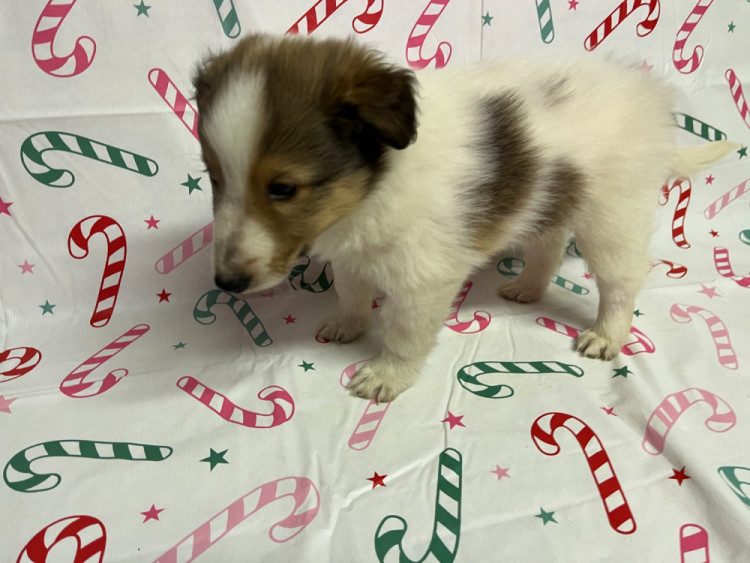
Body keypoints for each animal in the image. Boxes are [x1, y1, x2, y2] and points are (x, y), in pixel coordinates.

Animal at [192, 34, 736, 402]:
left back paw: (607, 334)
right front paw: (346, 324)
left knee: (622, 279)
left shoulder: (423, 278)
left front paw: (387, 376)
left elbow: (406, 333)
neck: (373, 186)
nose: (227, 283)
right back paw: (528, 288)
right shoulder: (352, 251)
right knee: (548, 245)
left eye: (283, 188)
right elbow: (352, 291)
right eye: (214, 176)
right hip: (549, 197)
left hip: (612, 213)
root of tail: (649, 96)